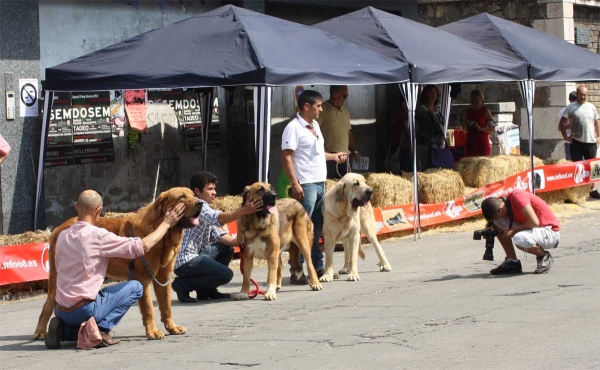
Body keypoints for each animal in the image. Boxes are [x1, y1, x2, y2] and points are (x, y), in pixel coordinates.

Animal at [32, 188, 202, 342]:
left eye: (193, 195)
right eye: (181, 197)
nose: (201, 202)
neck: (164, 235)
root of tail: (59, 227)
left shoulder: (163, 278)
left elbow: (166, 306)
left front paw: (172, 328)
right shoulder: (143, 279)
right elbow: (149, 309)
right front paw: (153, 332)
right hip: (55, 278)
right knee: (48, 304)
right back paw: (41, 332)